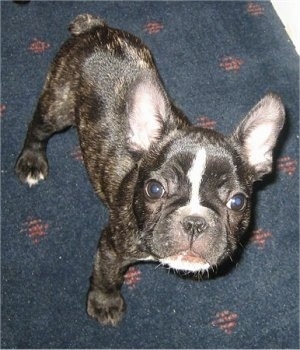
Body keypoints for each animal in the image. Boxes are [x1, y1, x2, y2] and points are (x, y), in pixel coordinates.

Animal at [15, 13, 284, 326]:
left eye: (237, 202)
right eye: (154, 189)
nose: (194, 222)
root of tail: (96, 29)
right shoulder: (111, 247)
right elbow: (107, 277)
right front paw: (105, 303)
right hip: (59, 103)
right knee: (39, 126)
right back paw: (32, 161)